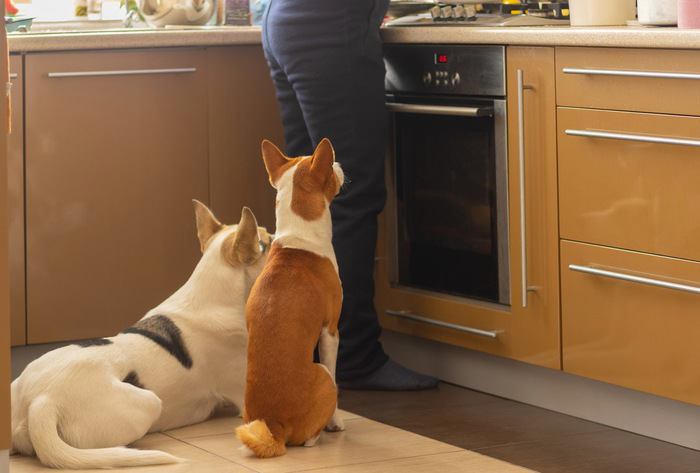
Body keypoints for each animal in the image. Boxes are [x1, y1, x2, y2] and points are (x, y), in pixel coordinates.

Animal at [235, 138, 344, 456]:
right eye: (331, 165)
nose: (338, 163)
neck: (298, 239)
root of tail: (274, 426)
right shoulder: (330, 331)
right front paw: (336, 423)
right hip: (322, 375)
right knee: (309, 437)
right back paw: (319, 435)